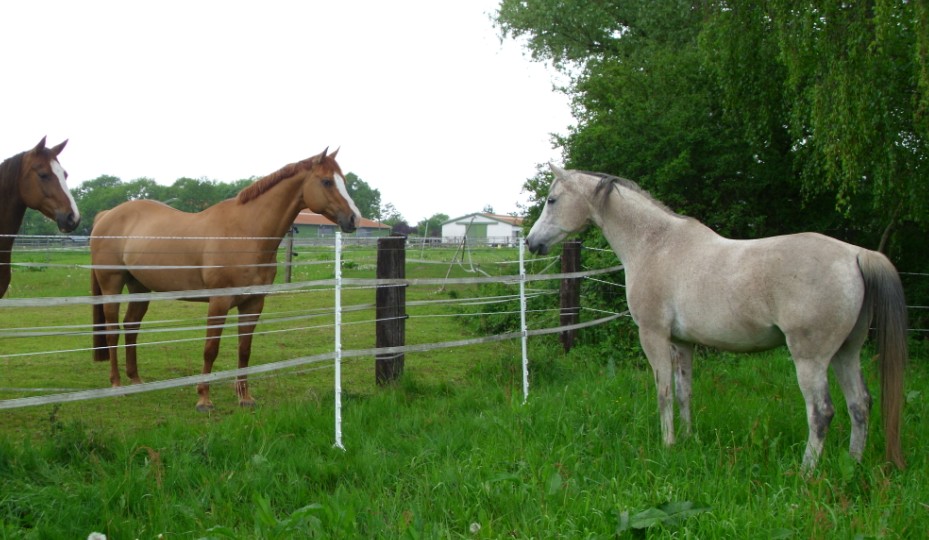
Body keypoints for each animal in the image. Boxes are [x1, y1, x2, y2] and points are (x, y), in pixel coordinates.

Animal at [89, 148, 358, 410]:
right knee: (113, 331)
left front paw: (245, 398)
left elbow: (244, 349)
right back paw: (117, 385)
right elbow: (211, 349)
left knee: (131, 327)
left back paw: (136, 381)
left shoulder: (253, 303)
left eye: (343, 181)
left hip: (140, 287)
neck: (246, 233)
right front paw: (204, 399)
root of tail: (106, 215)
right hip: (112, 284)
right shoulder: (219, 302)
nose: (354, 218)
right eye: (326, 181)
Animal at [528, 166, 908, 472]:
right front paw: (687, 440)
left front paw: (667, 445)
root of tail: (856, 254)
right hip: (846, 352)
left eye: (552, 199)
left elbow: (664, 392)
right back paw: (853, 463)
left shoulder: (653, 335)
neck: (656, 245)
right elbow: (685, 392)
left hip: (810, 358)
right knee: (860, 404)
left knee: (821, 412)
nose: (532, 242)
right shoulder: (682, 343)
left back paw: (806, 473)